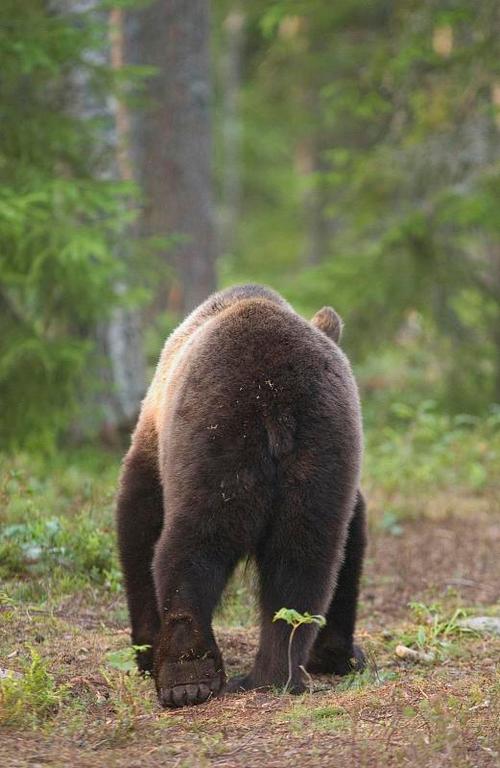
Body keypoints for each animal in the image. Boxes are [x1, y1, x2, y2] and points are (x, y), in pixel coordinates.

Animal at [116, 284, 366, 708]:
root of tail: (277, 401)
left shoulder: (155, 445)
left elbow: (138, 520)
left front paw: (146, 652)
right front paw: (341, 654)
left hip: (218, 440)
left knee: (192, 546)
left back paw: (186, 677)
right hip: (319, 451)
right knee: (305, 559)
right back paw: (276, 672)